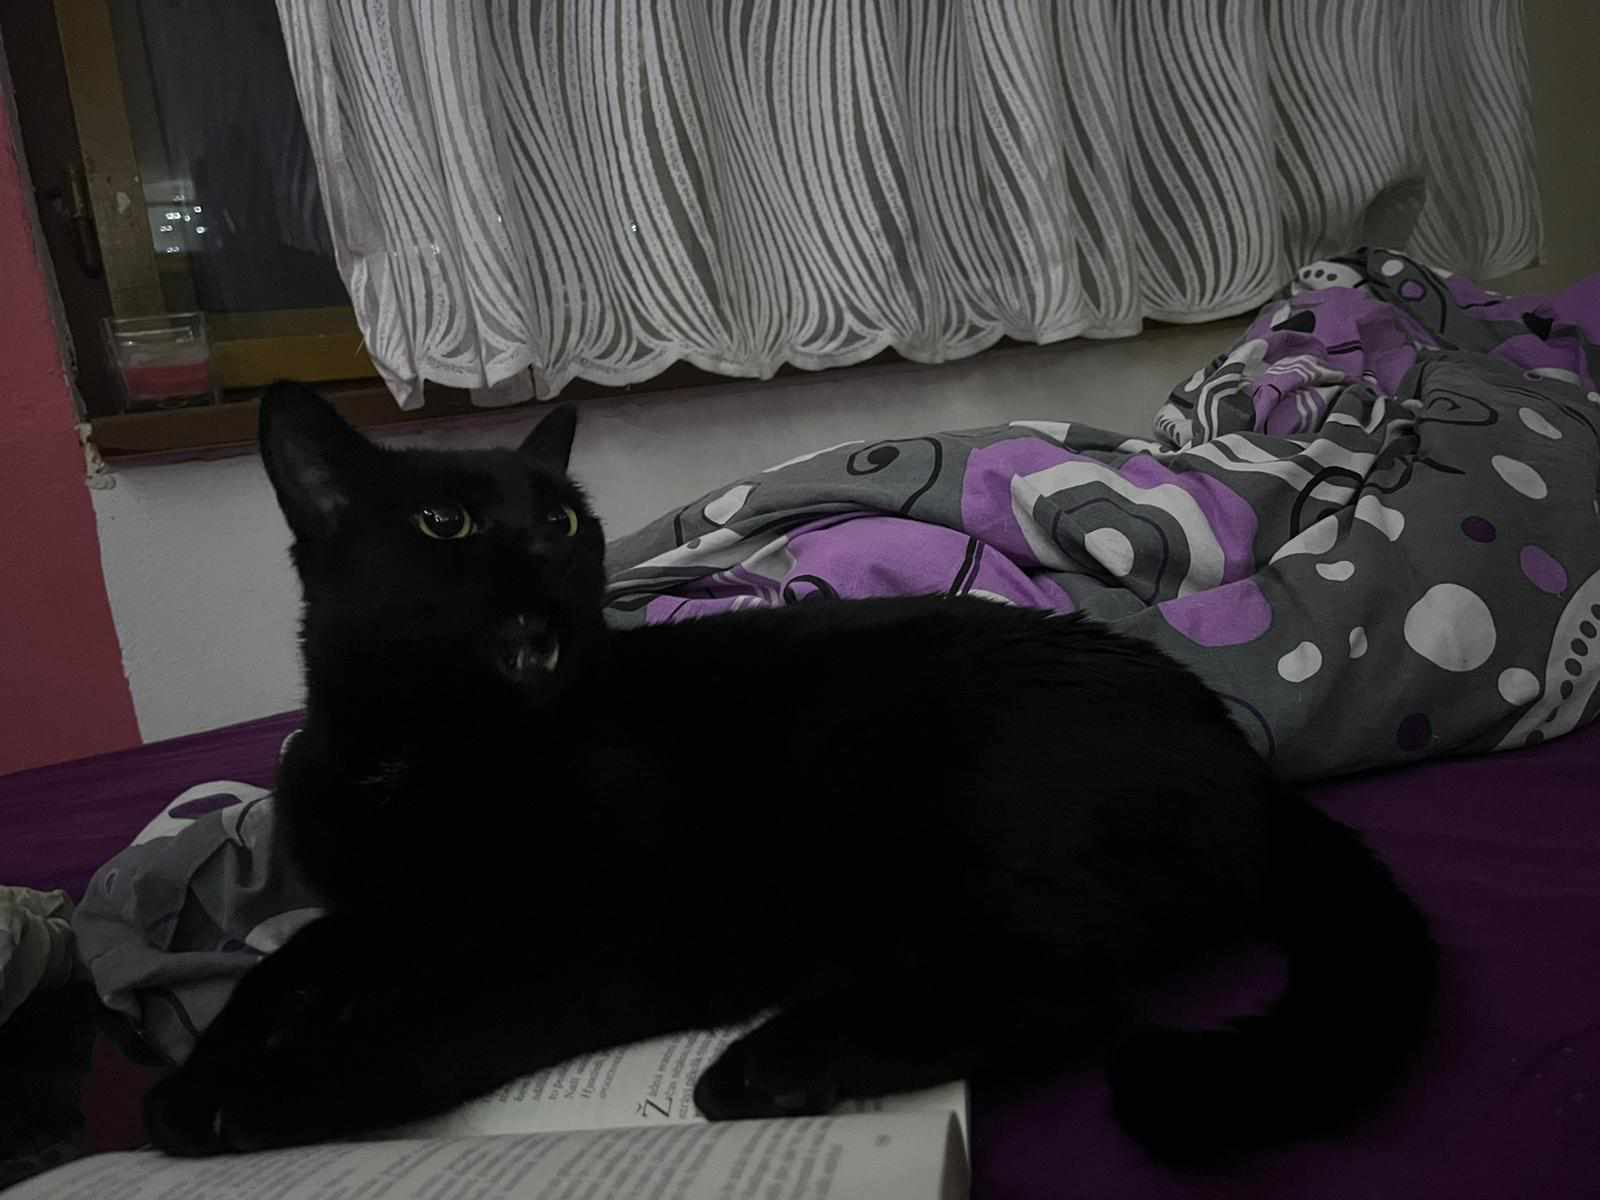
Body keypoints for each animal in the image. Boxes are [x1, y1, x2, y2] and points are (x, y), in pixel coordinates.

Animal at [144, 381, 1436, 1165]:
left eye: (562, 519)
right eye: (444, 525)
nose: (543, 555)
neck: (421, 758)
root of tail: (1235, 753)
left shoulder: (605, 933)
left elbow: (446, 1017)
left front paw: (267, 1095)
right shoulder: (376, 912)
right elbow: (284, 968)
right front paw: (200, 1069)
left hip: (958, 810)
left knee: (1073, 996)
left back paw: (770, 1067)